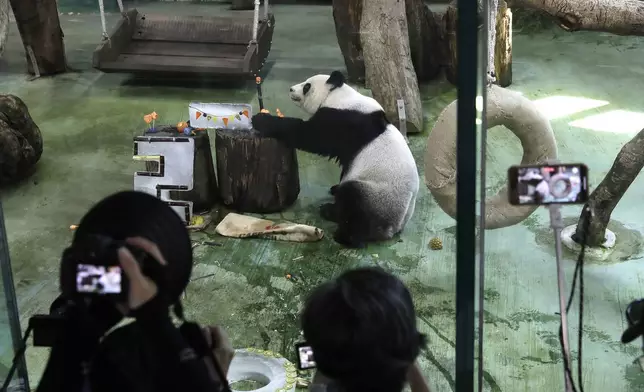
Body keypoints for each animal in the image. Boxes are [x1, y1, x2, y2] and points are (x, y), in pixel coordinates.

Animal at [252, 71, 418, 248]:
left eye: (307, 86)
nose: (291, 89)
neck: (338, 95)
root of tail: (394, 228)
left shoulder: (345, 121)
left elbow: (310, 135)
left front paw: (261, 120)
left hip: (379, 197)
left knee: (354, 202)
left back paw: (342, 232)